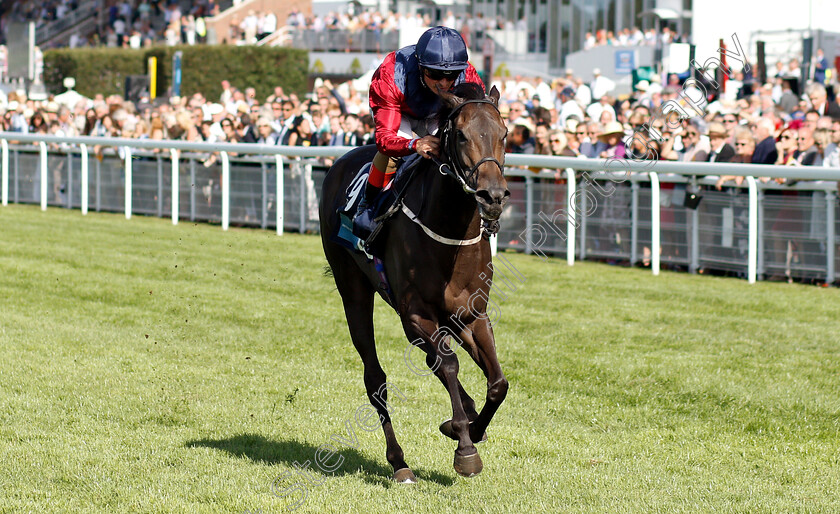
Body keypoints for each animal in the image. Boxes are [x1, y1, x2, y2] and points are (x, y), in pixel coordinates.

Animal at [320, 82, 506, 478]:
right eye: (461, 135)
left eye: (504, 133)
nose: (493, 196)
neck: (449, 232)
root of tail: (340, 163)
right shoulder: (416, 314)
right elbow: (448, 366)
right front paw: (465, 448)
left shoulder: (472, 314)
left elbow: (498, 382)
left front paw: (468, 428)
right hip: (354, 290)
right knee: (376, 379)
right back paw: (399, 462)